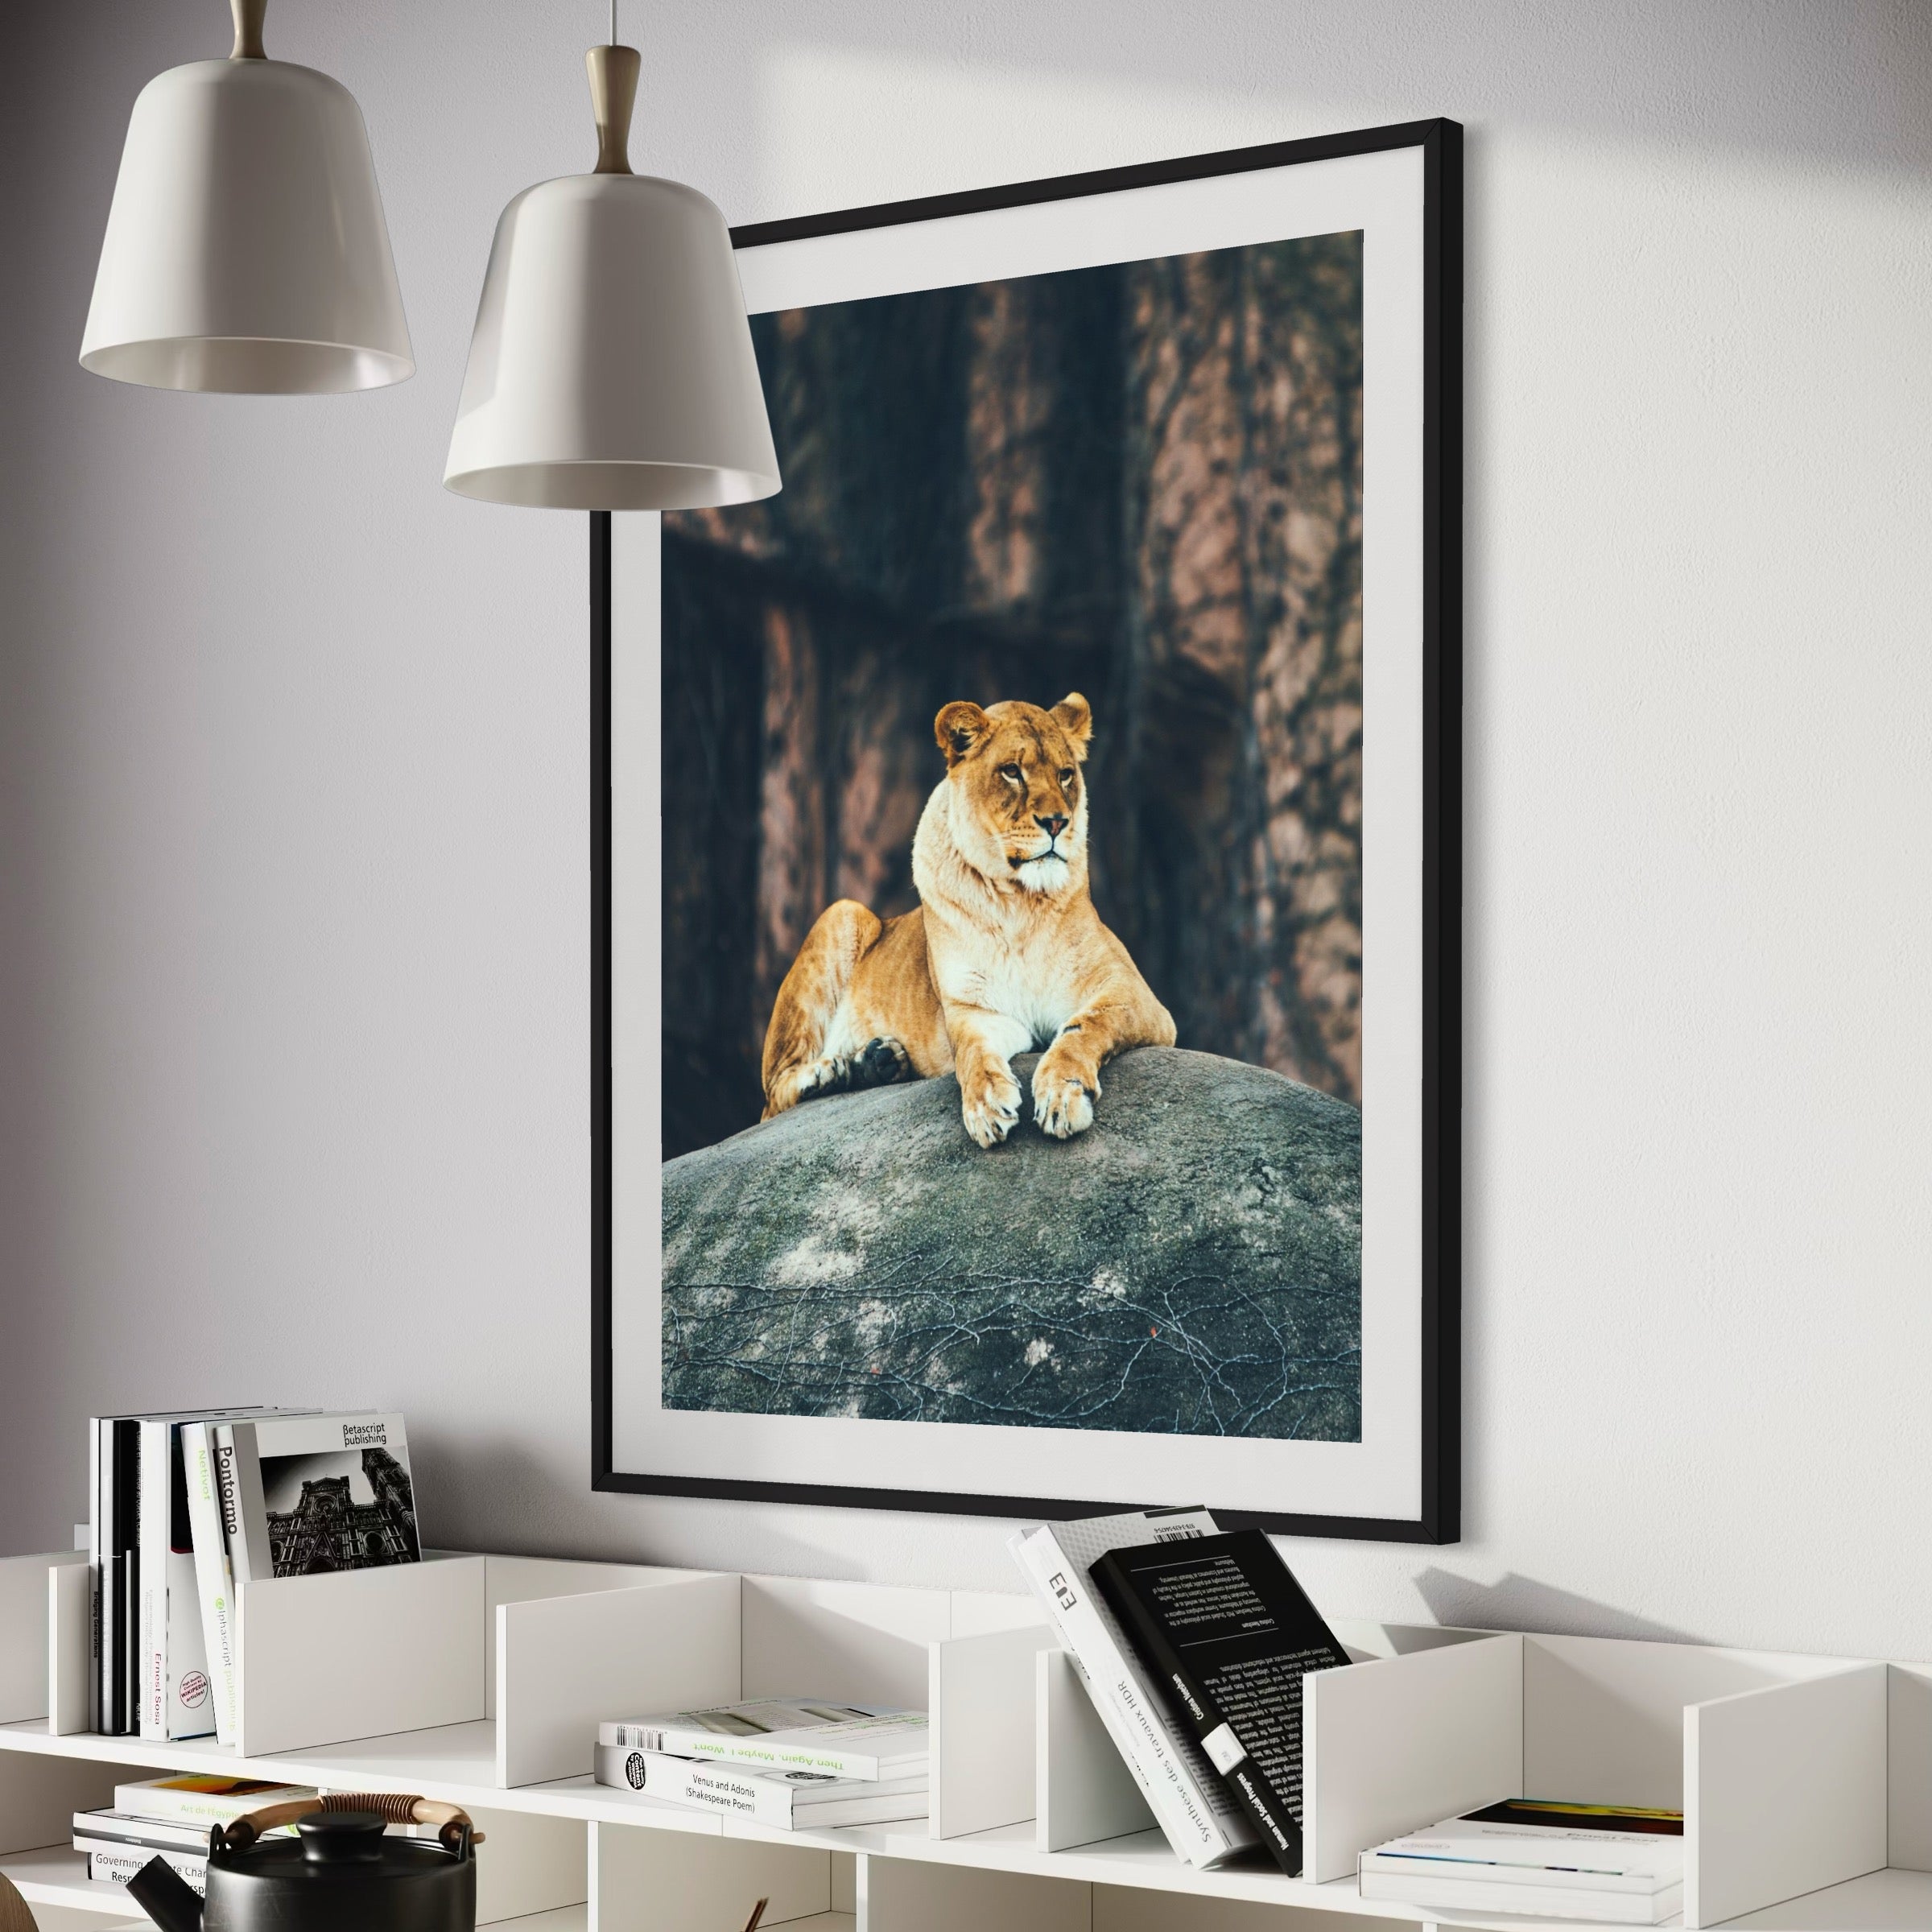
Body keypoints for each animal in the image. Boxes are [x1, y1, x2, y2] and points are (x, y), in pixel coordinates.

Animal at [759, 692, 1176, 1147]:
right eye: (1012, 771)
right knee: (774, 1097)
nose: (1057, 822)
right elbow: (973, 1053)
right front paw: (987, 1105)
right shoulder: (973, 1008)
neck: (1019, 903)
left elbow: (1086, 1026)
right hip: (843, 912)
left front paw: (1062, 1094)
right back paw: (832, 1070)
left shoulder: (1135, 996)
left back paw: (878, 1061)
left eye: (1066, 775)